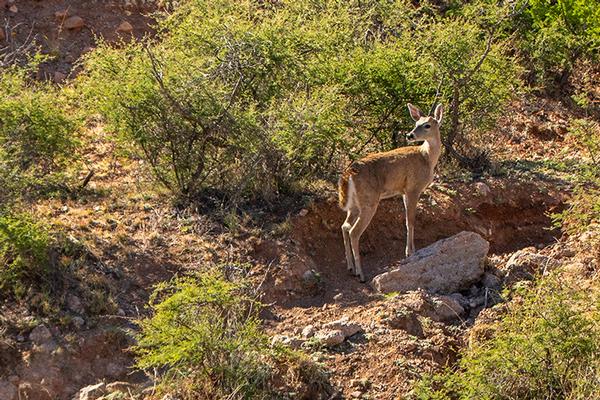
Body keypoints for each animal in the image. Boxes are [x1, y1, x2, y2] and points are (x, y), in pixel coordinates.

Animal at [340, 104, 442, 282]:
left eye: (427, 125)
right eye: (416, 123)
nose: (409, 135)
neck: (426, 157)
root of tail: (349, 173)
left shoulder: (404, 191)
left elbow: (407, 221)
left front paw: (410, 251)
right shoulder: (413, 188)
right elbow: (411, 220)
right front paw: (411, 252)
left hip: (354, 204)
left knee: (345, 226)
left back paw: (351, 267)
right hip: (369, 201)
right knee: (353, 231)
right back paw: (361, 274)